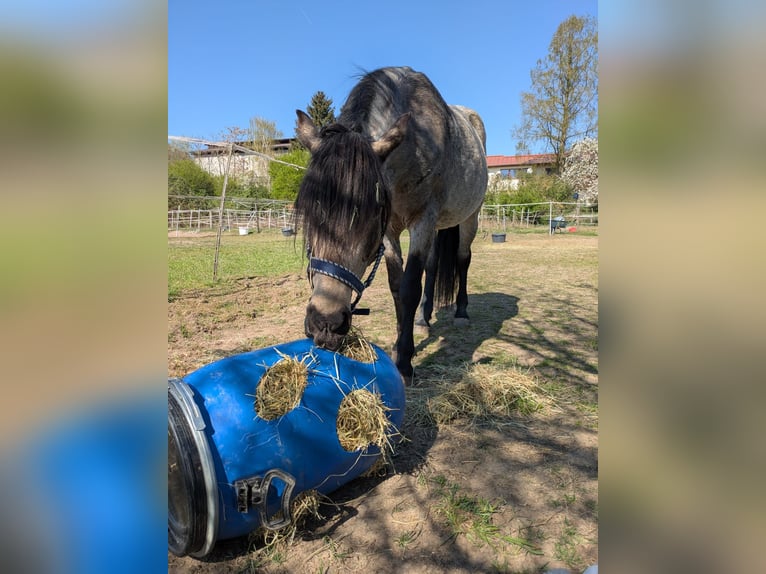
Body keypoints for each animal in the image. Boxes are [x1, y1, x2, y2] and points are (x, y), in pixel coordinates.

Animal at [294, 66, 488, 381]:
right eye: (309, 212)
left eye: (369, 218)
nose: (325, 323)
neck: (416, 145)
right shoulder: (392, 231)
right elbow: (397, 288)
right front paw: (400, 344)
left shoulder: (422, 221)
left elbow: (409, 289)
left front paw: (405, 362)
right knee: (433, 265)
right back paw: (423, 319)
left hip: (470, 217)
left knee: (462, 259)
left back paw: (461, 313)